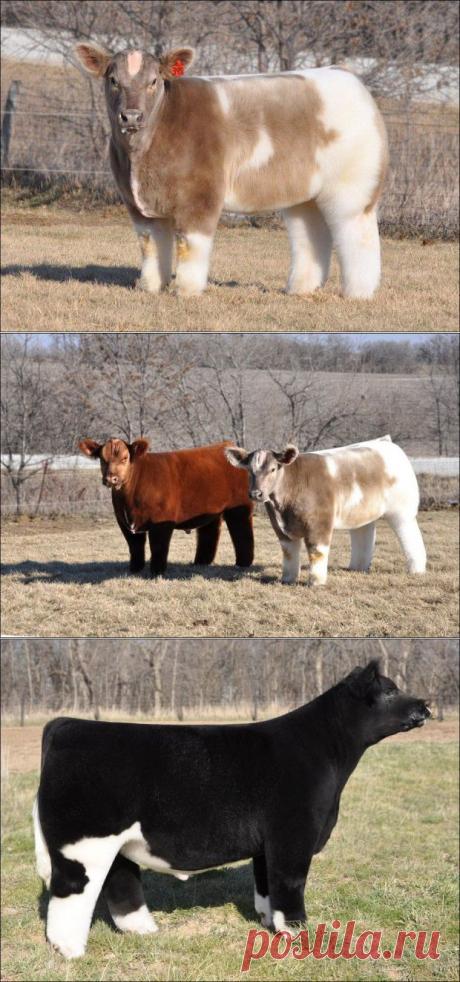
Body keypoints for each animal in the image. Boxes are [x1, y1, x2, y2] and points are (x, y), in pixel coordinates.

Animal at [33, 660, 430, 959]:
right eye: (390, 691)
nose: (425, 705)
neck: (325, 751)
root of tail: (66, 723)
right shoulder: (293, 834)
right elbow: (290, 884)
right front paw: (299, 934)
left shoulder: (267, 845)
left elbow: (266, 886)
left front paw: (271, 924)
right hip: (84, 843)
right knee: (71, 894)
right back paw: (69, 950)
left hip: (117, 843)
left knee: (121, 884)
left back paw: (144, 931)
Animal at [74, 42, 388, 299]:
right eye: (113, 80)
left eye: (154, 81)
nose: (131, 116)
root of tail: (347, 76)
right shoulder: (137, 204)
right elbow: (150, 246)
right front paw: (150, 287)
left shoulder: (201, 195)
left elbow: (190, 245)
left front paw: (186, 291)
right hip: (305, 194)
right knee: (310, 235)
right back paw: (300, 288)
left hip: (352, 190)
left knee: (357, 236)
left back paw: (358, 292)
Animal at [78, 437, 253, 575]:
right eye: (102, 458)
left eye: (125, 458)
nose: (111, 479)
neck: (129, 501)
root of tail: (229, 445)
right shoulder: (123, 522)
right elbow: (135, 547)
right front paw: (135, 570)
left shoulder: (161, 521)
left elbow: (158, 546)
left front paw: (157, 572)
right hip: (210, 509)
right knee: (209, 533)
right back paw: (201, 562)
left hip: (239, 507)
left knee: (242, 533)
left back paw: (243, 564)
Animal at [225, 436, 426, 585]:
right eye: (249, 470)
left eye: (273, 468)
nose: (256, 493)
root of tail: (385, 443)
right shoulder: (281, 529)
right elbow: (289, 553)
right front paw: (288, 579)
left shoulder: (319, 524)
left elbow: (317, 552)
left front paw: (316, 582)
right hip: (361, 513)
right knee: (363, 534)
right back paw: (358, 566)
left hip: (402, 512)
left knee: (411, 538)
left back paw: (417, 569)